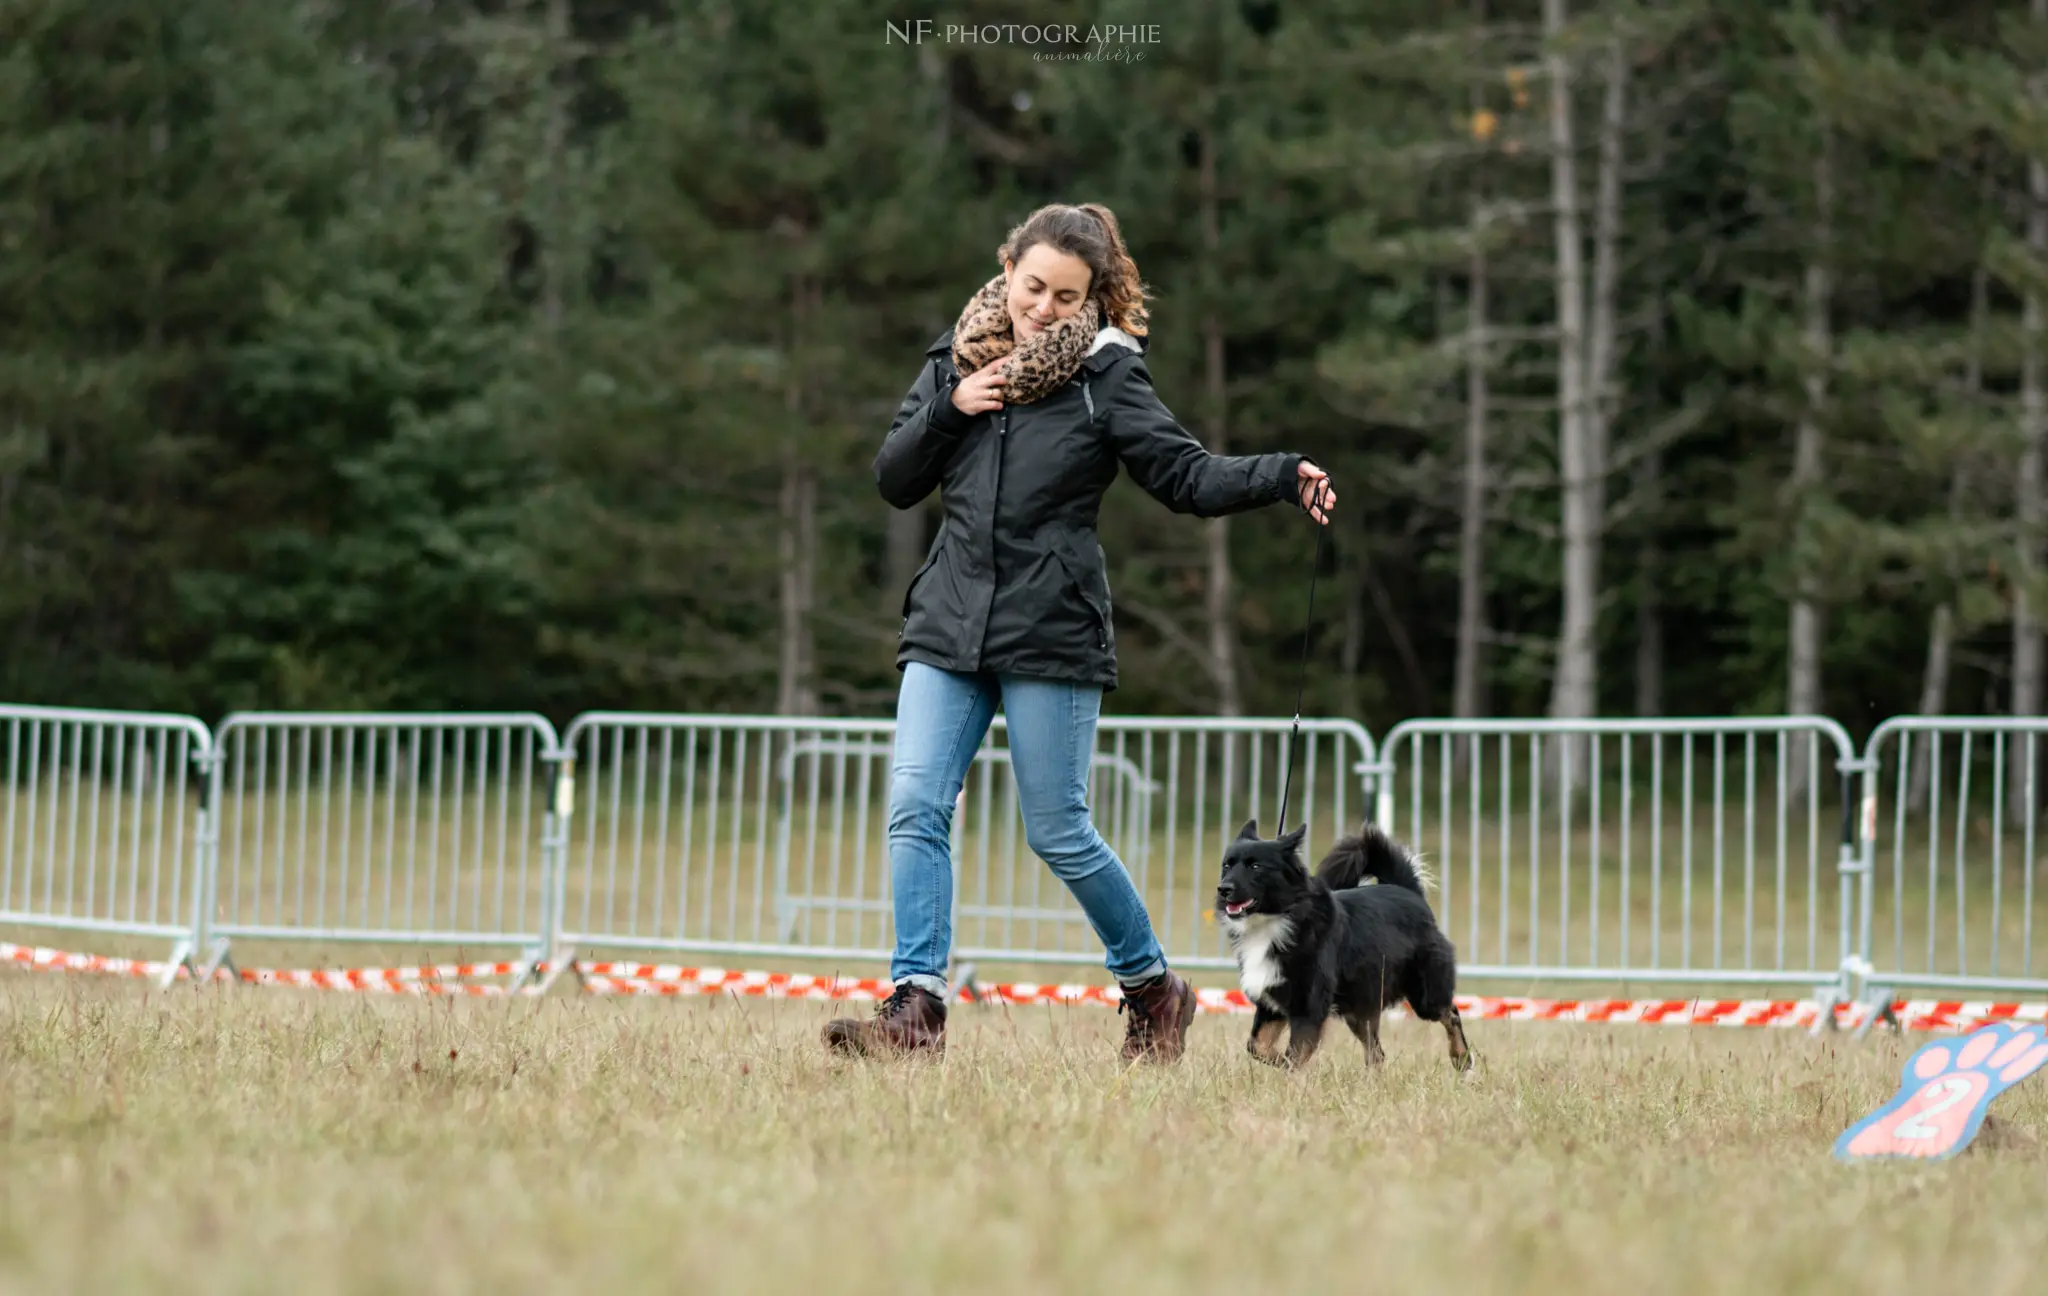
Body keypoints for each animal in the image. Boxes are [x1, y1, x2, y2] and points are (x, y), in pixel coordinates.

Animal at [1212, 818, 1474, 1072]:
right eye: (1226, 865)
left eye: (1255, 867)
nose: (1223, 889)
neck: (1275, 918)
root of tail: (1408, 891)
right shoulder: (1271, 1002)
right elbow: (1258, 1045)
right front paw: (1281, 1063)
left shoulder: (1308, 1006)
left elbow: (1294, 1054)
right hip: (1360, 1007)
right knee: (1376, 1054)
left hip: (1424, 995)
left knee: (1451, 1013)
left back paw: (1461, 1059)